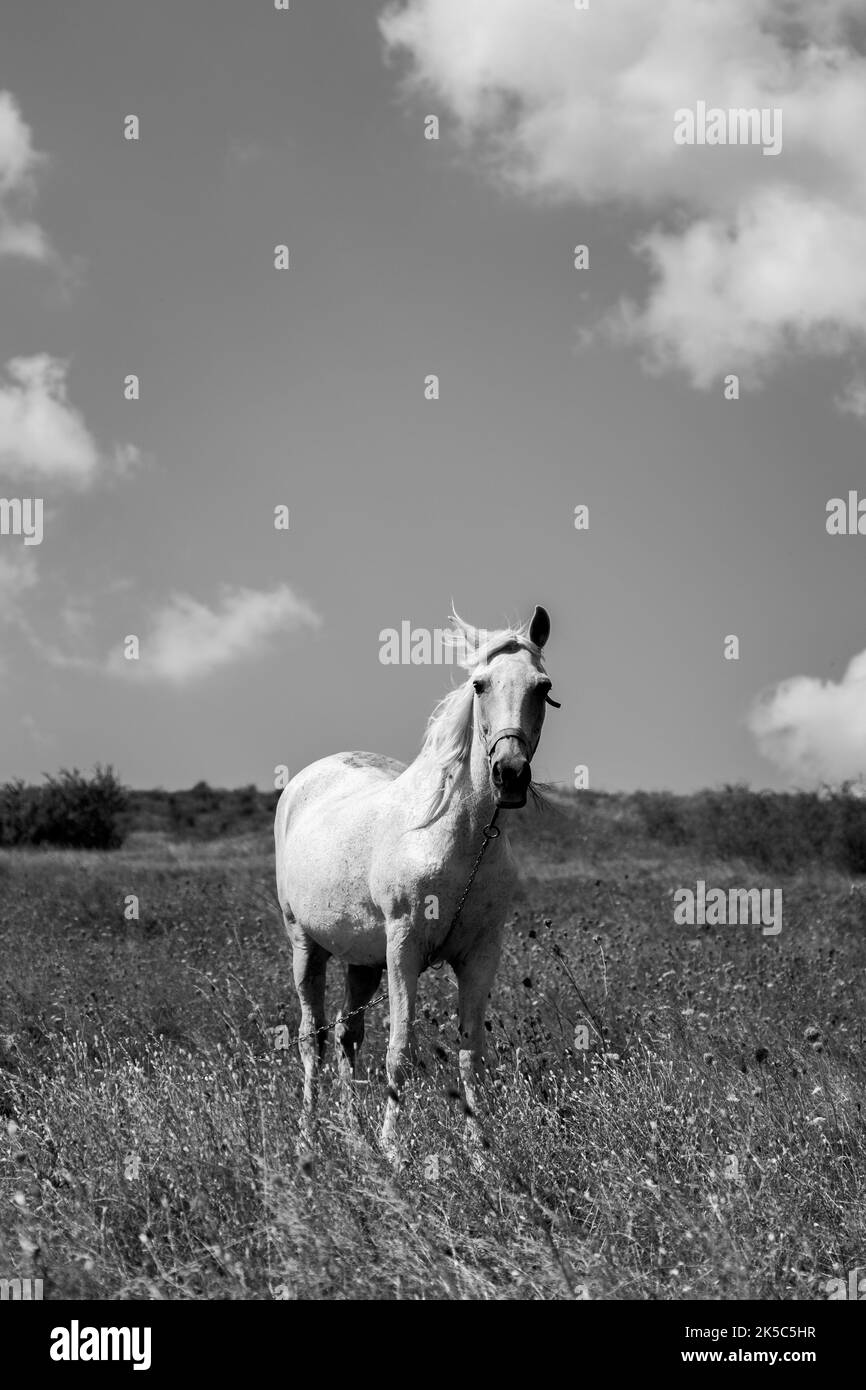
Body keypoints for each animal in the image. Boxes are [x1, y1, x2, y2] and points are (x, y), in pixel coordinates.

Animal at [273, 603, 558, 1156]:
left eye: (543, 686)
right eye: (479, 685)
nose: (510, 773)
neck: (457, 839)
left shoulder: (481, 955)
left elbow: (471, 1052)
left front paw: (479, 1151)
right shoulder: (402, 948)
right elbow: (399, 1049)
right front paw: (394, 1150)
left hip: (363, 963)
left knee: (346, 1036)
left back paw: (354, 1137)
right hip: (306, 946)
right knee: (312, 1037)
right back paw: (307, 1139)